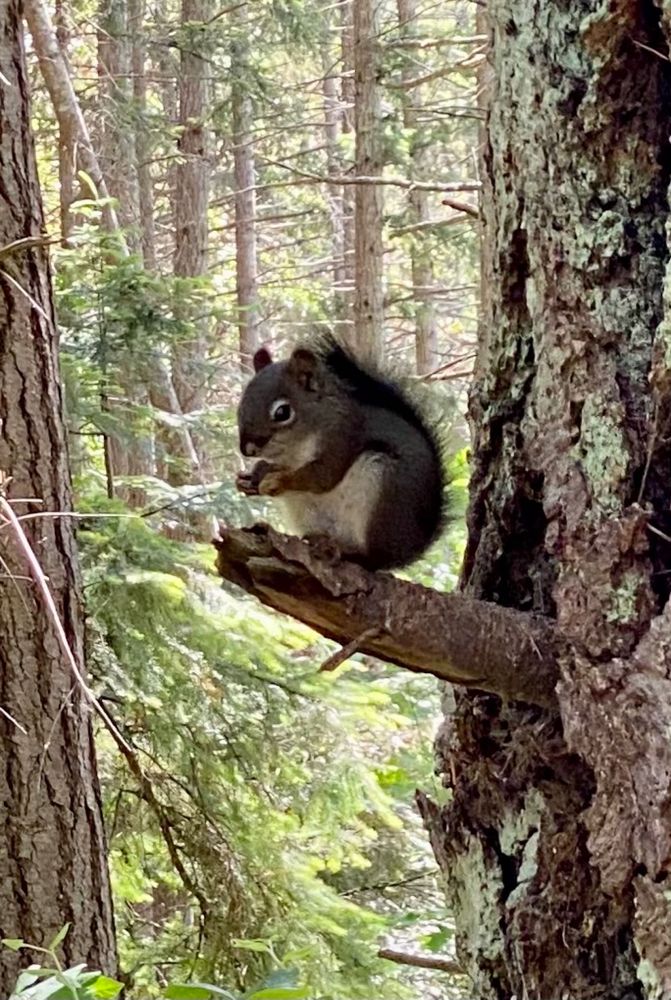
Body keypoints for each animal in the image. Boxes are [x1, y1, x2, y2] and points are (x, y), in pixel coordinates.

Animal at [235, 336, 448, 570]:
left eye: (282, 412)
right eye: (242, 404)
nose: (246, 448)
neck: (295, 450)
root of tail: (406, 551)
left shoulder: (342, 438)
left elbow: (322, 478)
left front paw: (277, 481)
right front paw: (253, 476)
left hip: (382, 493)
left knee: (373, 559)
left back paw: (347, 552)